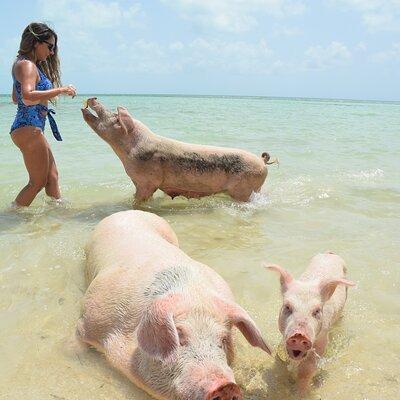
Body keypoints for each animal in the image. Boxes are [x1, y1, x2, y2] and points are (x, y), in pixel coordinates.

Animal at [77, 211, 272, 398]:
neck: (191, 293)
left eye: (223, 340)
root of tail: (130, 211)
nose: (226, 386)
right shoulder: (88, 319)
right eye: (179, 335)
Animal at [81, 97, 276, 203]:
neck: (128, 152)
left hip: (245, 188)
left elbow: (140, 200)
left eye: (115, 116)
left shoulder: (147, 182)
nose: (94, 97)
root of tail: (262, 161)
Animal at [266, 253, 354, 394]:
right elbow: (280, 359)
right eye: (287, 306)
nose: (299, 335)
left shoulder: (322, 339)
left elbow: (307, 368)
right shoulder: (283, 339)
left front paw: (299, 392)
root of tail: (330, 253)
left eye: (317, 311)